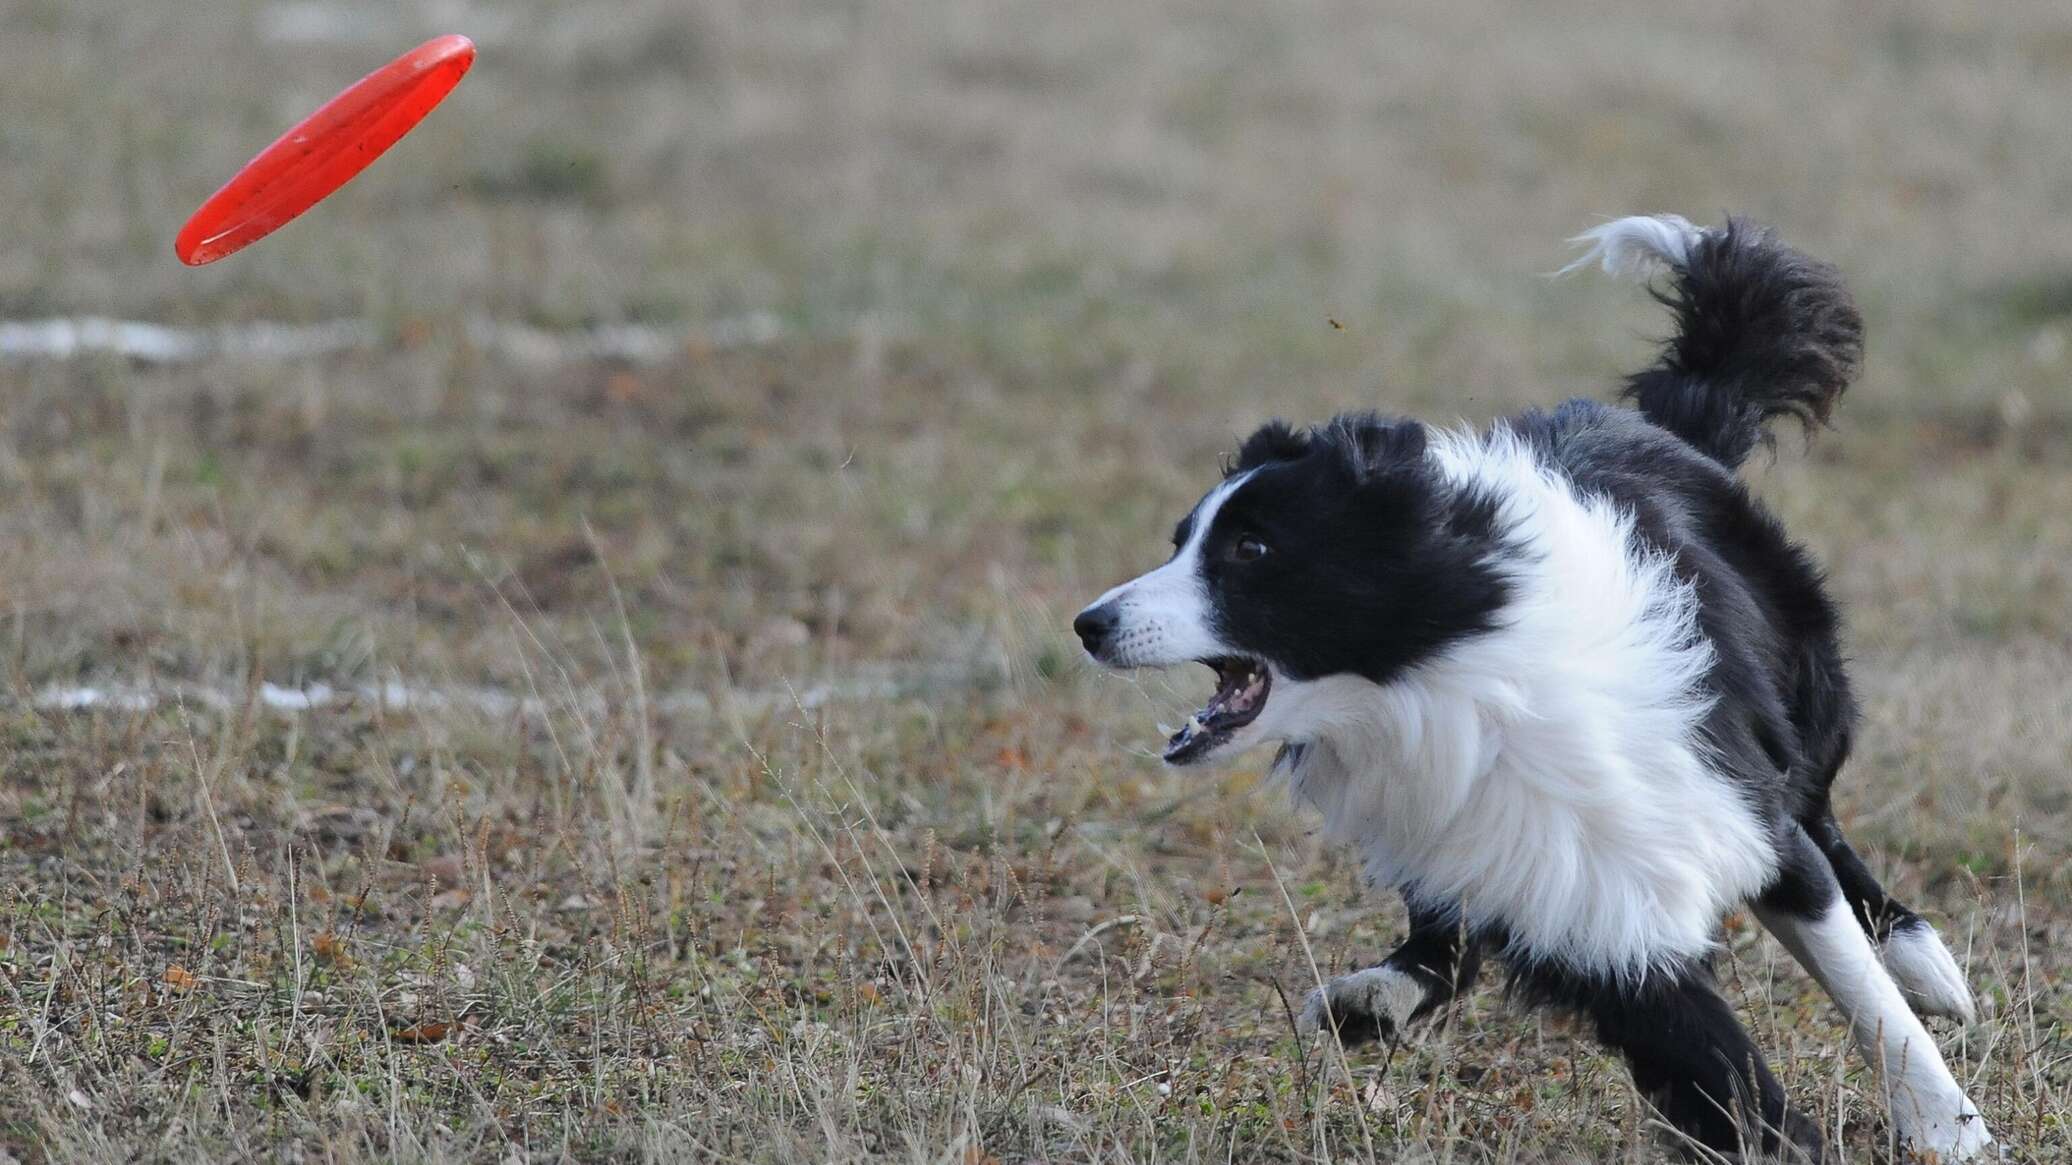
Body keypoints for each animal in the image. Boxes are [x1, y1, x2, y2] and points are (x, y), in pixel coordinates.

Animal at [1069, 213, 1989, 1152]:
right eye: (1180, 539)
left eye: (1250, 548)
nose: (1089, 623)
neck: (1450, 678)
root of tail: (1667, 426)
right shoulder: (1564, 887)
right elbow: (1705, 1053)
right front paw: (1783, 1135)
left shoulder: (1721, 801)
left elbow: (1860, 985)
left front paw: (1948, 1127)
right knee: (1442, 927)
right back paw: (1376, 996)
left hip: (1803, 685)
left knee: (1824, 816)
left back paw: (1923, 959)